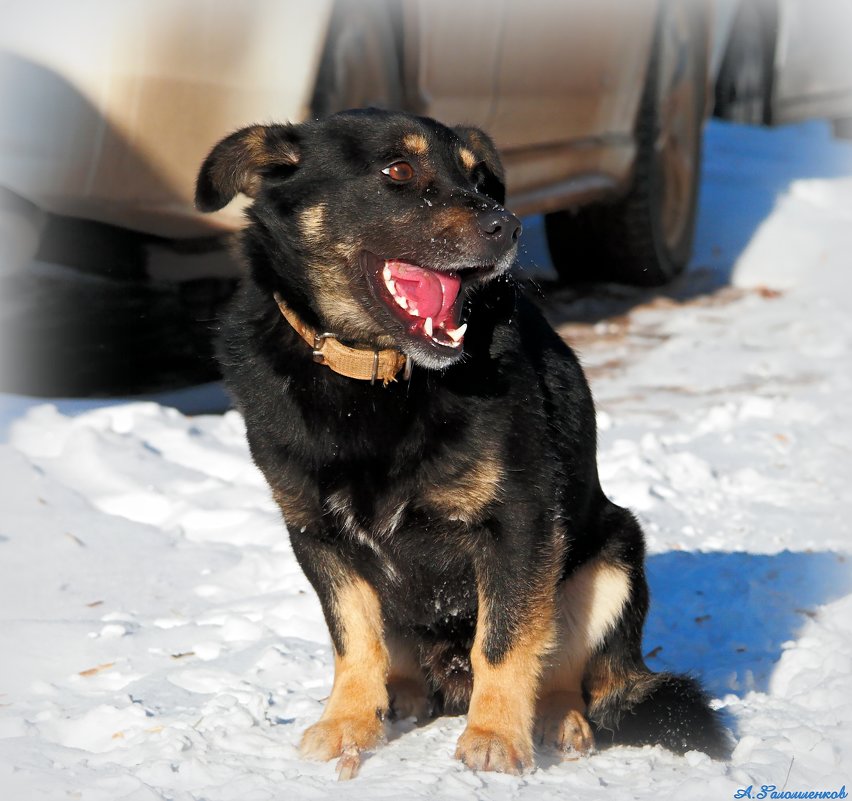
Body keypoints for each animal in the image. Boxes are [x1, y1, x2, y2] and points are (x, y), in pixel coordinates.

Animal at [196, 108, 728, 776]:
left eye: (478, 179)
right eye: (399, 170)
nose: (510, 226)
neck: (377, 378)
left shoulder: (519, 523)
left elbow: (501, 642)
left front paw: (496, 735)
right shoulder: (317, 534)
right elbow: (355, 641)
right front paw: (347, 723)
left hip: (613, 556)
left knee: (564, 668)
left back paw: (558, 719)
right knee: (401, 656)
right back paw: (399, 698)